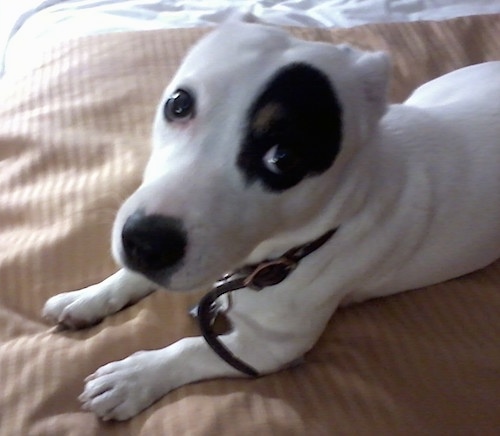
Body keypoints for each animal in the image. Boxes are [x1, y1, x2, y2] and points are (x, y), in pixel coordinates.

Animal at [42, 18, 500, 420]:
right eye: (179, 103)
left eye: (283, 157)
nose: (146, 242)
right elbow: (129, 279)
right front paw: (89, 297)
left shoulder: (267, 351)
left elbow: (192, 349)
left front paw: (134, 378)